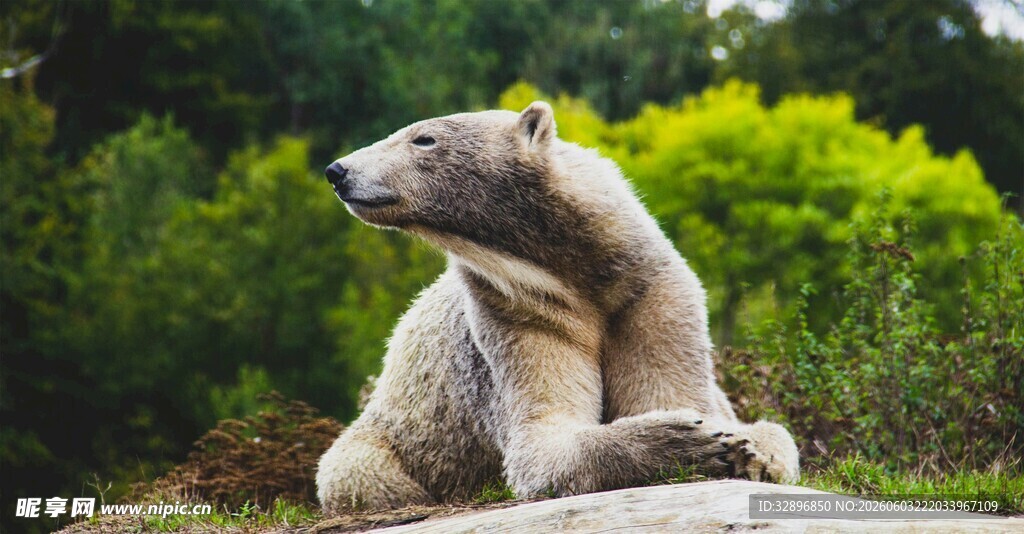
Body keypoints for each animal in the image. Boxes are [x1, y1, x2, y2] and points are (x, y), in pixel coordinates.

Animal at [315, 101, 799, 514]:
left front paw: (741, 448)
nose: (337, 170)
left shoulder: (650, 297)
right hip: (383, 441)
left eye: (423, 139)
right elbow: (545, 438)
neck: (577, 267)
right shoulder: (517, 313)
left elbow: (667, 390)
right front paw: (689, 438)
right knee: (353, 471)